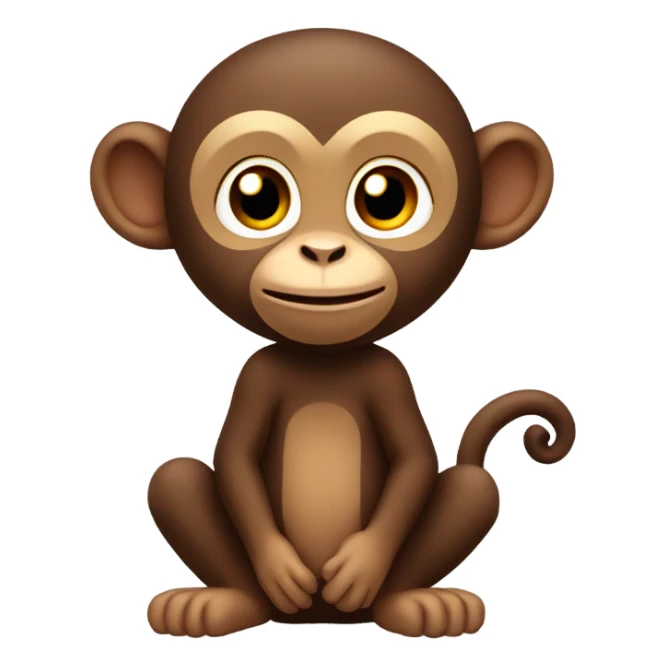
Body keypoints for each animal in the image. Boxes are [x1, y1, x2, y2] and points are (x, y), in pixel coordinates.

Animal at [91, 28, 575, 639]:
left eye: (386, 198)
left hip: (420, 549)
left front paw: (361, 564)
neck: (323, 359)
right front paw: (278, 565)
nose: (323, 251)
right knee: (172, 478)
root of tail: (319, 623)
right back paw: (218, 604)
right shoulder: (258, 374)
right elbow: (235, 458)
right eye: (255, 198)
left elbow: (414, 460)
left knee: (473, 487)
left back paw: (423, 605)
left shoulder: (388, 375)